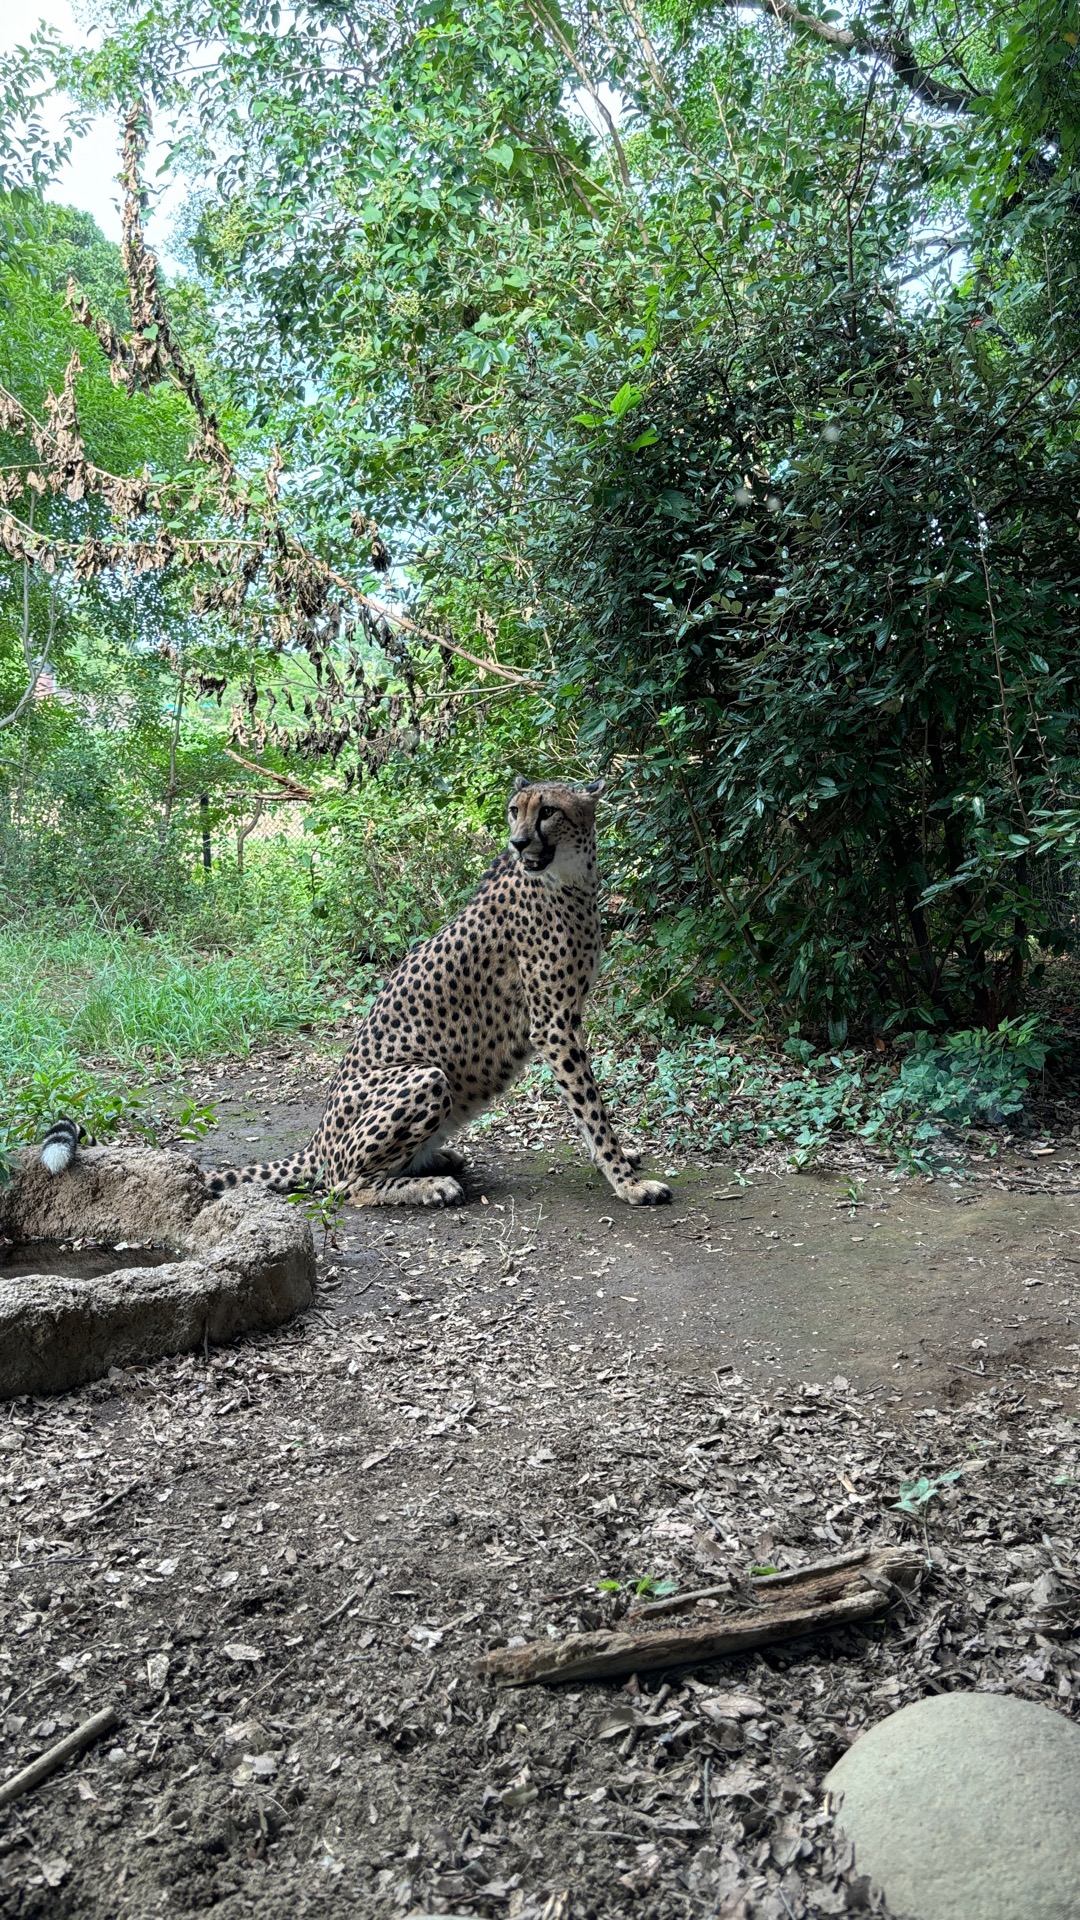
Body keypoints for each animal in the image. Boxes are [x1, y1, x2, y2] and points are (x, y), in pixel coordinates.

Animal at [201, 771, 668, 1205]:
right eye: (514, 810)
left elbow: (585, 1107)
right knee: (343, 1184)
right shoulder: (554, 1026)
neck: (571, 878)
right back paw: (429, 1186)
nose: (518, 843)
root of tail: (315, 1142)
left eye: (548, 811)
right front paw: (626, 1181)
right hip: (426, 1076)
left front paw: (622, 1162)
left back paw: (436, 1160)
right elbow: (590, 1107)